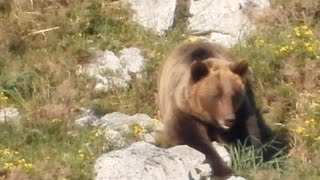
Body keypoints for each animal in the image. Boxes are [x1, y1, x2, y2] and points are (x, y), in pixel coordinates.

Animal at [157, 40, 268, 179]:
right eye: (216, 96)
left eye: (233, 95)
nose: (229, 120)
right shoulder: (185, 111)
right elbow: (191, 140)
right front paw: (223, 170)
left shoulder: (241, 109)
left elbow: (246, 133)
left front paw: (249, 158)